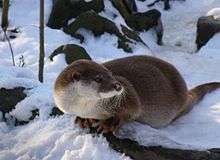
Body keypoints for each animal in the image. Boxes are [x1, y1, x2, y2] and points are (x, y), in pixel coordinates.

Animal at [54, 55, 220, 133]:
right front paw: (83, 120)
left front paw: (108, 124)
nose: (118, 85)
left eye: (111, 74)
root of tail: (185, 94)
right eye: (98, 78)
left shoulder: (129, 98)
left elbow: (131, 112)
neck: (85, 108)